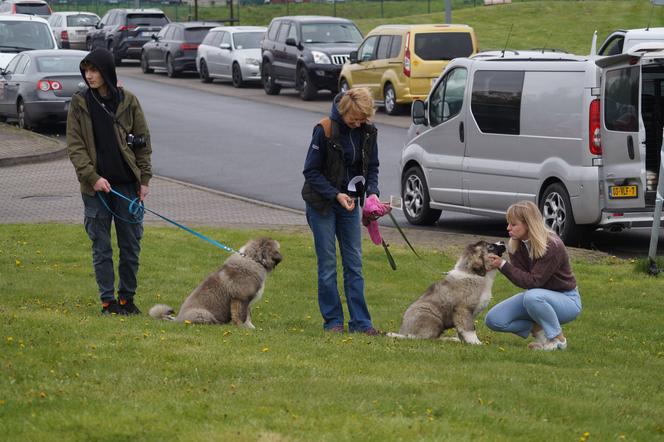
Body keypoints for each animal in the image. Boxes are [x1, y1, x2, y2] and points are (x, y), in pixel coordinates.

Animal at [149, 238, 282, 328]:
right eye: (276, 250)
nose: (282, 258)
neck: (253, 259)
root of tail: (178, 319)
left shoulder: (247, 301)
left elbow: (248, 315)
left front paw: (251, 328)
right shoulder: (240, 298)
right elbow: (241, 315)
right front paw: (242, 327)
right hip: (203, 314)